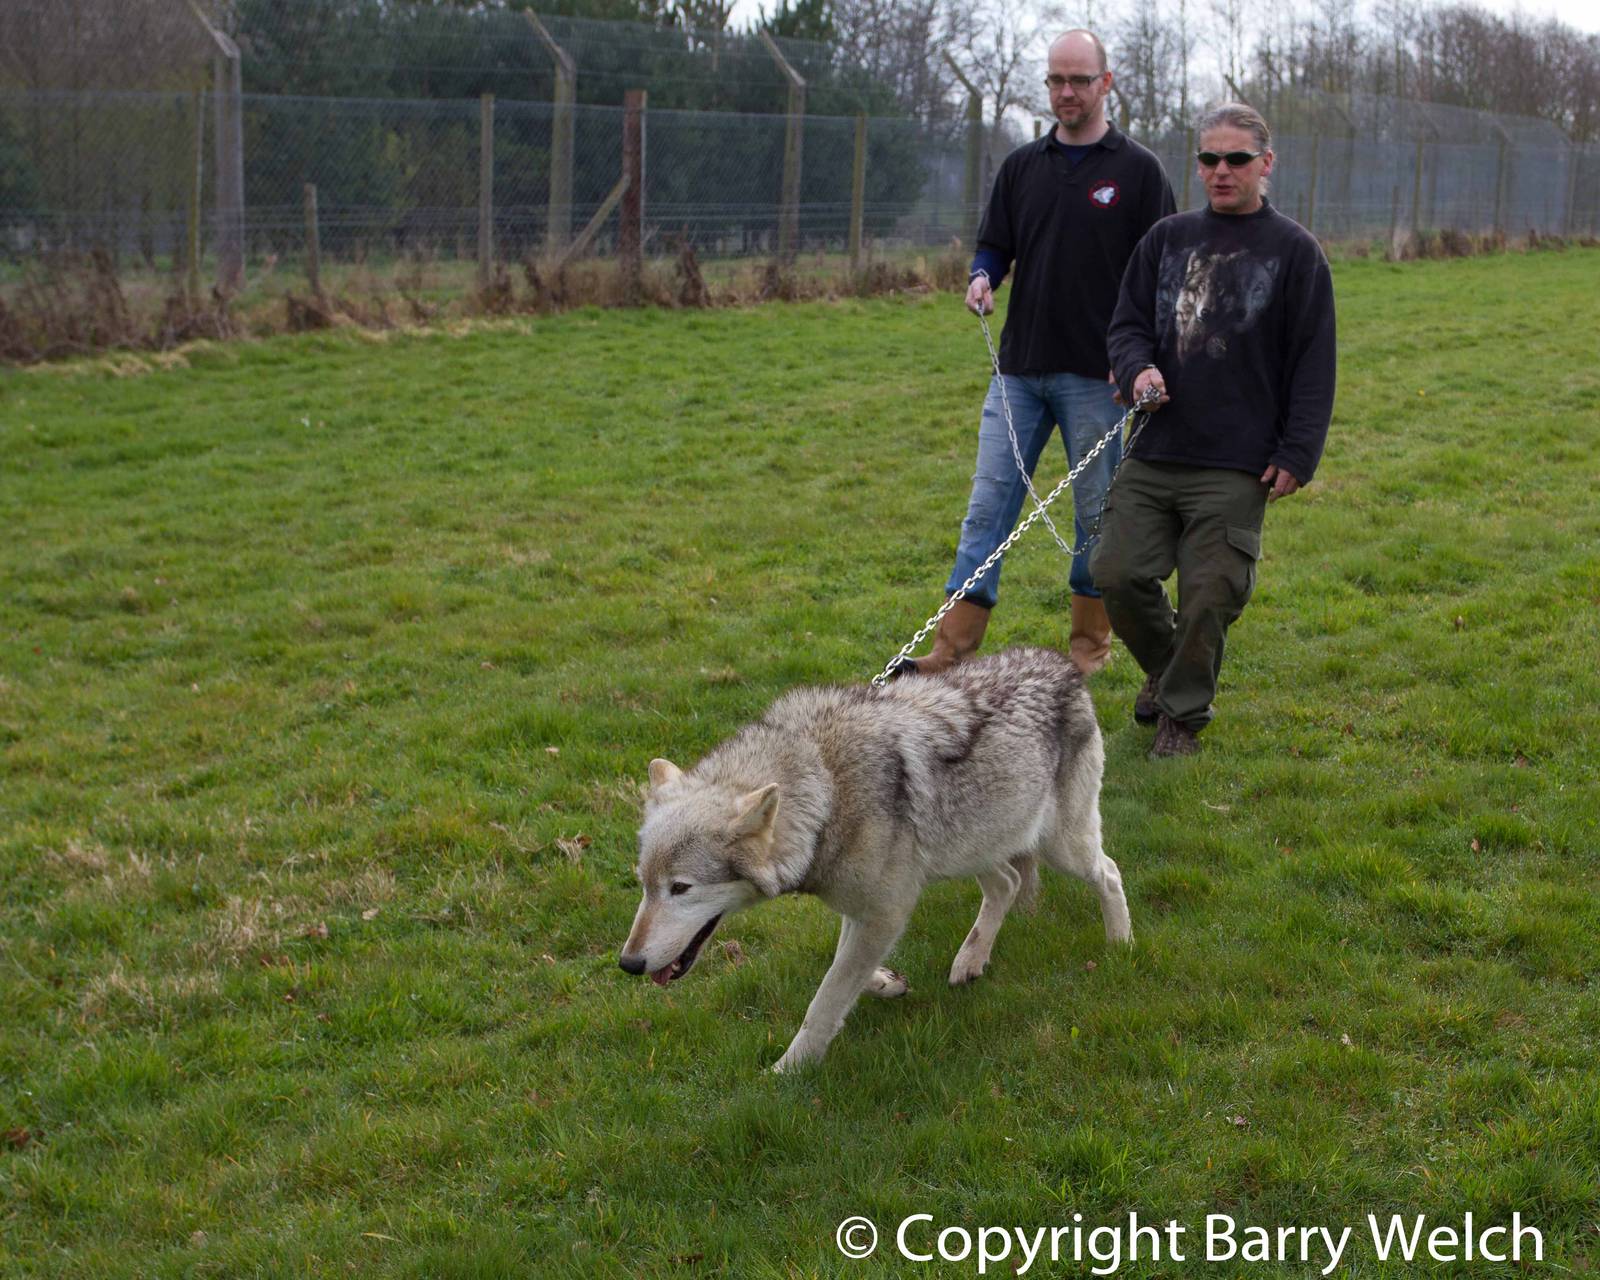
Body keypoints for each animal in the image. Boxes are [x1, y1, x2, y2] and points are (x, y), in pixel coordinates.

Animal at [618, 647, 1133, 1072]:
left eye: (680, 888)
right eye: (644, 885)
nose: (628, 964)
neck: (826, 791)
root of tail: (1062, 662)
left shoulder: (887, 908)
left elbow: (826, 996)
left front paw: (789, 1070)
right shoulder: (863, 906)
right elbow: (845, 970)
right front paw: (887, 983)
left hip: (1059, 846)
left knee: (1108, 872)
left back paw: (1120, 944)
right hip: (971, 846)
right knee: (1007, 883)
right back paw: (970, 960)